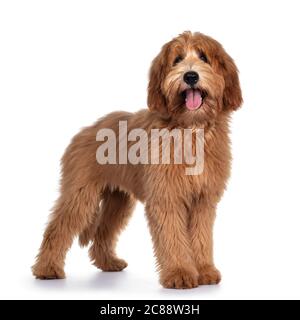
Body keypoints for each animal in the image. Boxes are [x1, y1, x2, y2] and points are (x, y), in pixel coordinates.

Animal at [32, 31, 243, 288]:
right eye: (177, 59)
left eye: (203, 56)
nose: (190, 76)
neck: (189, 129)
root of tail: (85, 130)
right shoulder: (166, 197)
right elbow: (173, 236)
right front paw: (180, 273)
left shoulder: (203, 199)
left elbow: (202, 237)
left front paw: (204, 271)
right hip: (80, 195)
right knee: (57, 229)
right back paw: (47, 268)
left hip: (118, 201)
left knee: (103, 231)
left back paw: (109, 262)